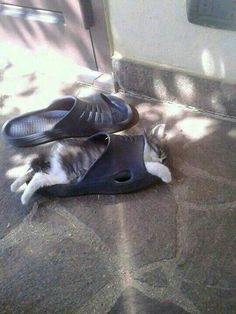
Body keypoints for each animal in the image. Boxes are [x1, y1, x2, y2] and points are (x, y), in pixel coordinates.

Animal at [10, 124, 171, 205]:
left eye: (164, 157)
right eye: (160, 154)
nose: (162, 160)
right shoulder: (135, 161)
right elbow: (150, 166)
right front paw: (167, 174)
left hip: (60, 174)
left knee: (34, 172)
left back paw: (15, 186)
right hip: (64, 174)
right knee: (39, 177)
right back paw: (24, 197)